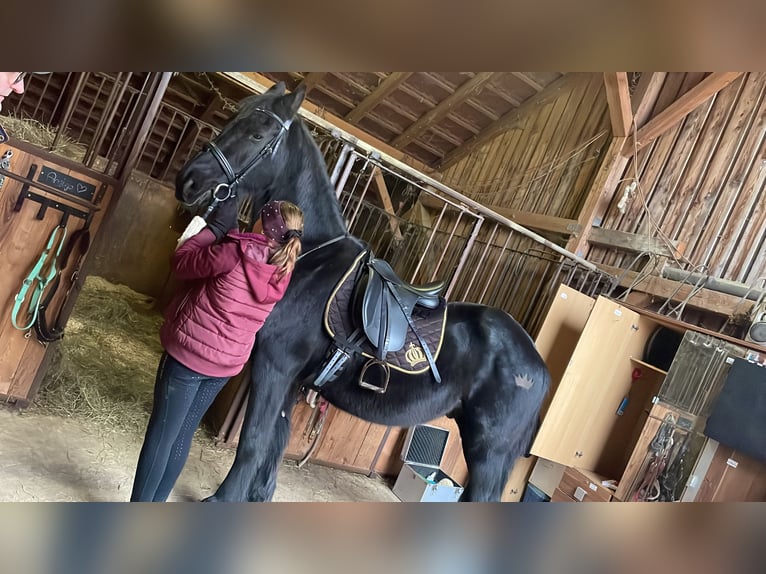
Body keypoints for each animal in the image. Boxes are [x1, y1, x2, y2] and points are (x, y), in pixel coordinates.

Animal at [175, 82, 550, 502]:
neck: (311, 257)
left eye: (258, 134)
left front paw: (222, 498)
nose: (188, 180)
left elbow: (254, 441)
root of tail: (537, 364)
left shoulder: (275, 366)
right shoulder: (293, 379)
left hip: (489, 451)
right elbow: (275, 444)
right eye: (233, 116)